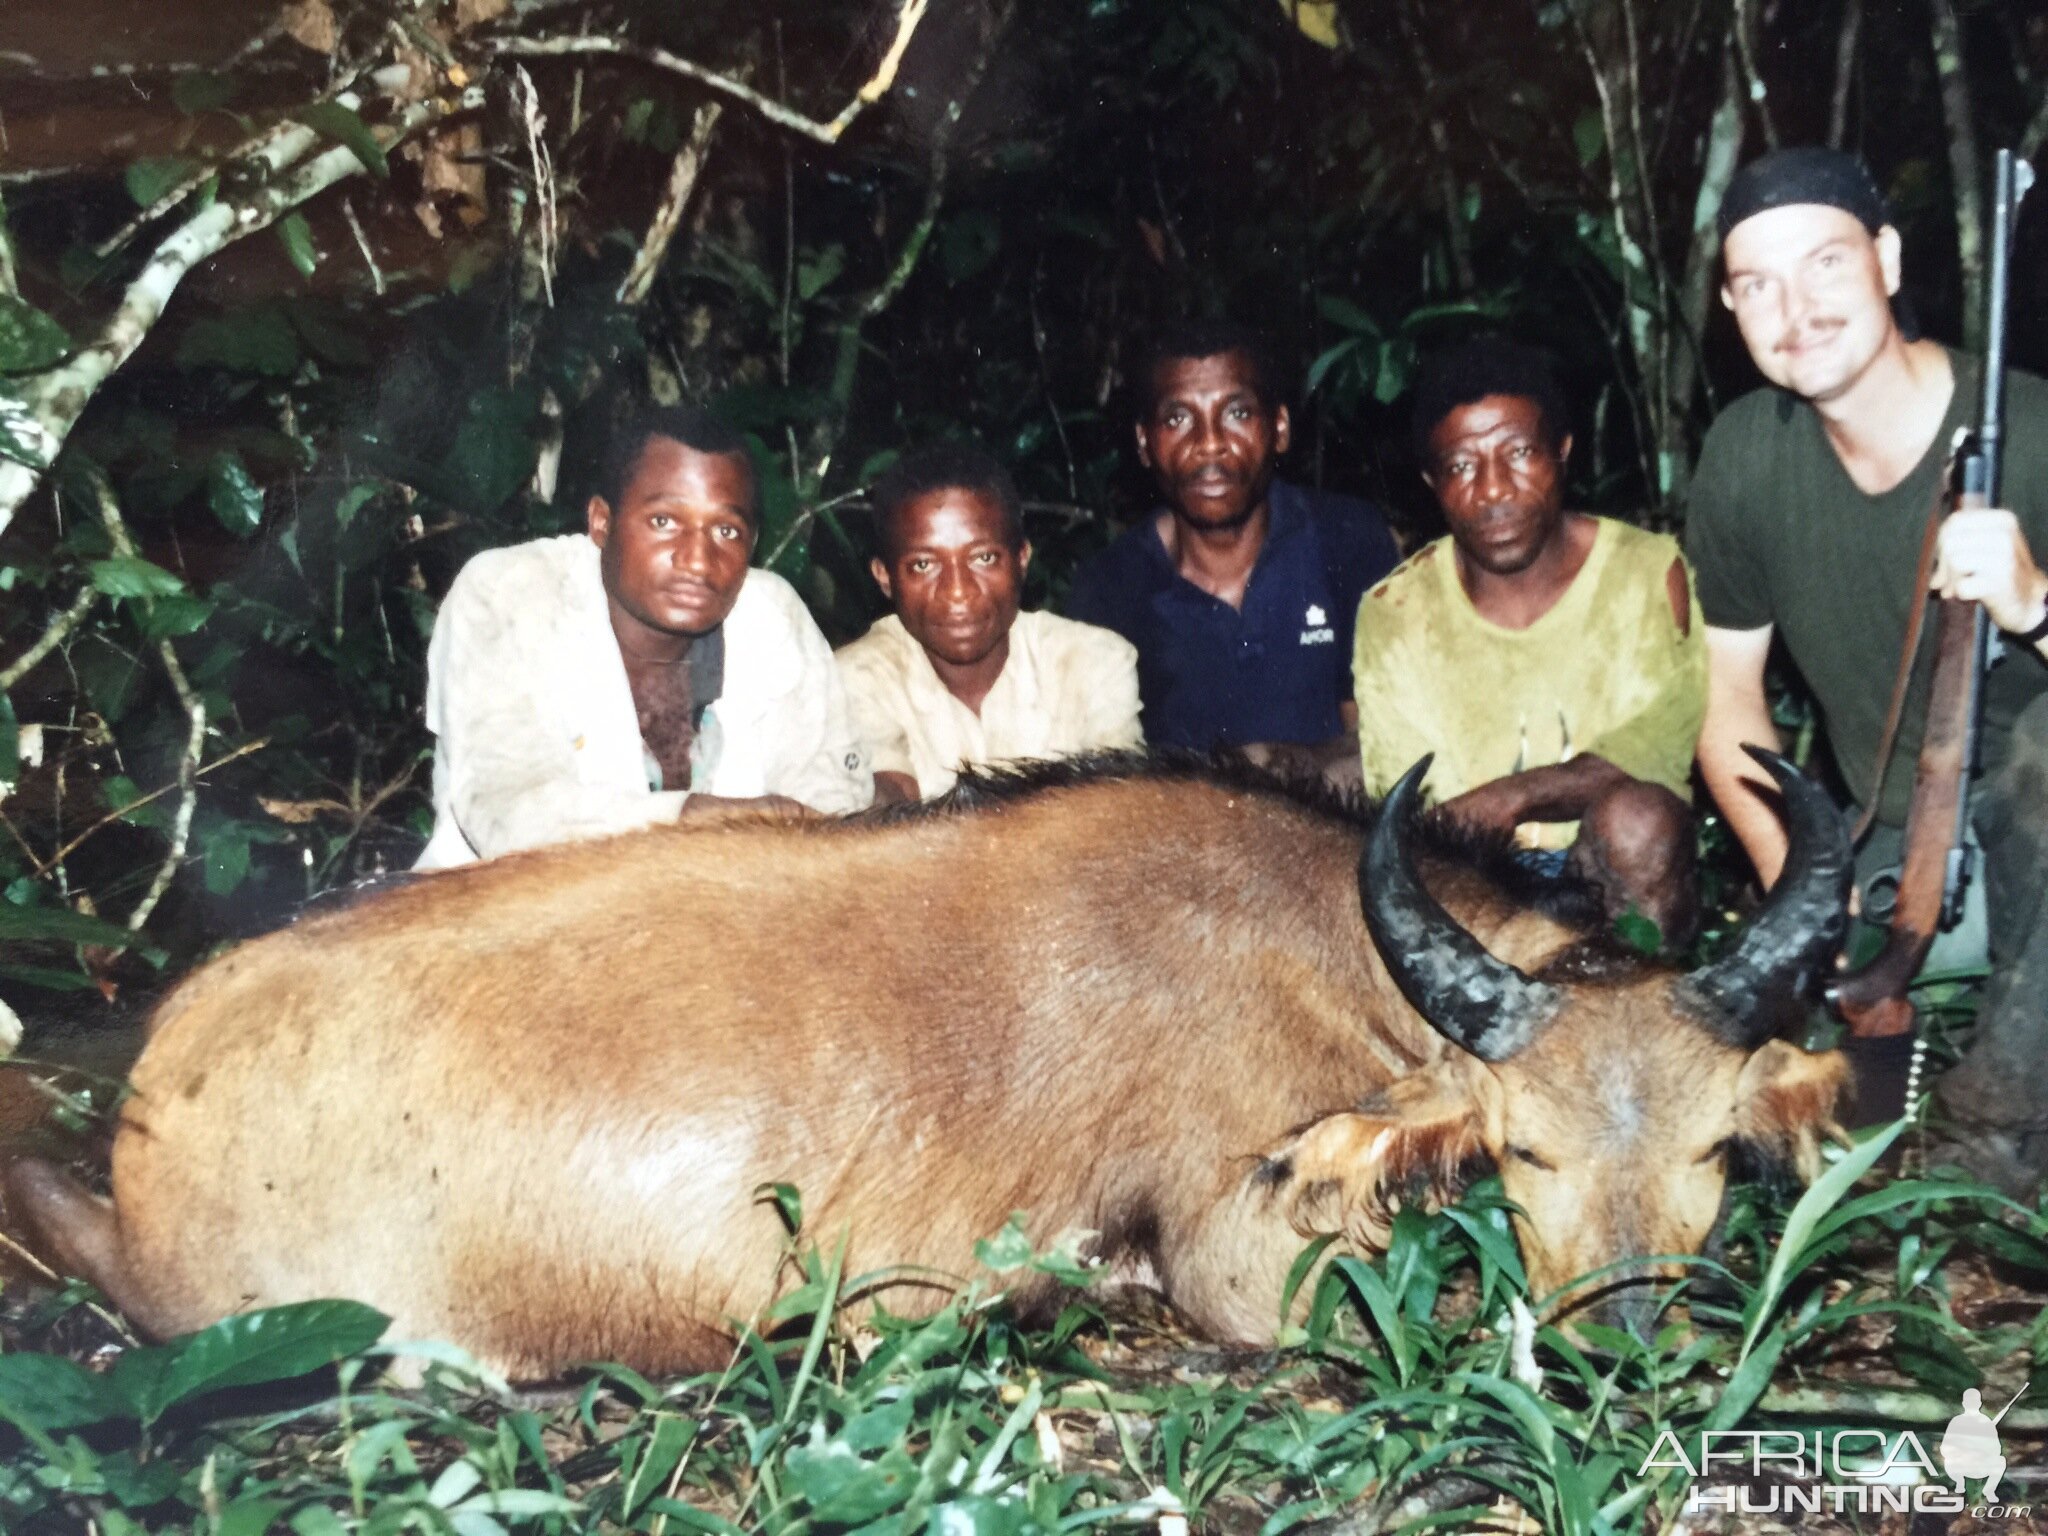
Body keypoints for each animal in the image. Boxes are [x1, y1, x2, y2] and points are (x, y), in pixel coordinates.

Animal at [4, 753, 1859, 1376]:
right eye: (1522, 1151)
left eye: (1712, 1154)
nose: (1623, 1348)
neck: (1311, 919)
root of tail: (156, 1102)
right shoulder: (1248, 1263)